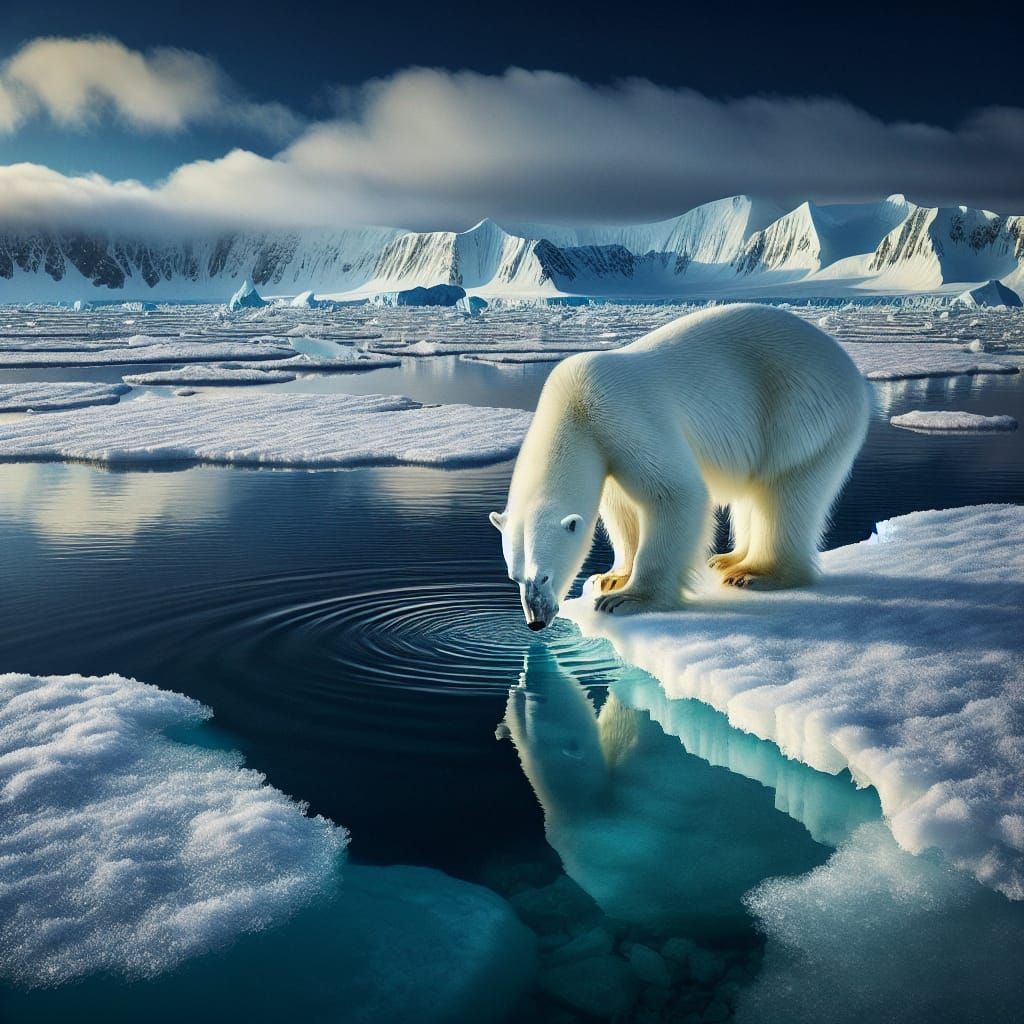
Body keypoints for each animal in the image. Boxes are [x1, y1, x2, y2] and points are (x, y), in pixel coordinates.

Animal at [490, 303, 870, 629]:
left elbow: (675, 493)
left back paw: (757, 574)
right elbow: (621, 508)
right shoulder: (605, 447)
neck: (575, 405)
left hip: (801, 409)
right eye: (514, 577)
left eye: (544, 575)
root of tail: (851, 369)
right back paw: (728, 559)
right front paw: (612, 577)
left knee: (785, 490)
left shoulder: (620, 415)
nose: (536, 621)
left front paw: (628, 599)